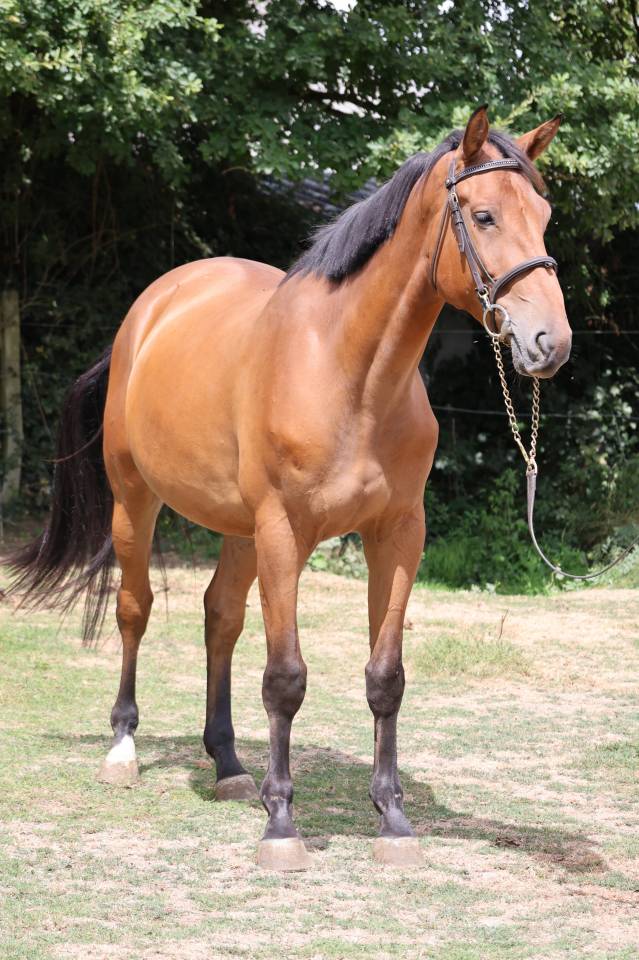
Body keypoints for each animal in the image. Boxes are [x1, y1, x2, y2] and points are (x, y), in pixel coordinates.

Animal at [8, 106, 571, 870]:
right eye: (483, 216)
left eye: (543, 216)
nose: (551, 342)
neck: (350, 373)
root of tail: (149, 309)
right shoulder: (283, 532)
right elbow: (285, 677)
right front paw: (282, 826)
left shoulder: (398, 534)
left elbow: (385, 677)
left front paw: (392, 820)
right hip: (138, 502)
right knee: (134, 609)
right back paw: (123, 750)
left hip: (239, 530)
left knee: (219, 617)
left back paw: (227, 766)